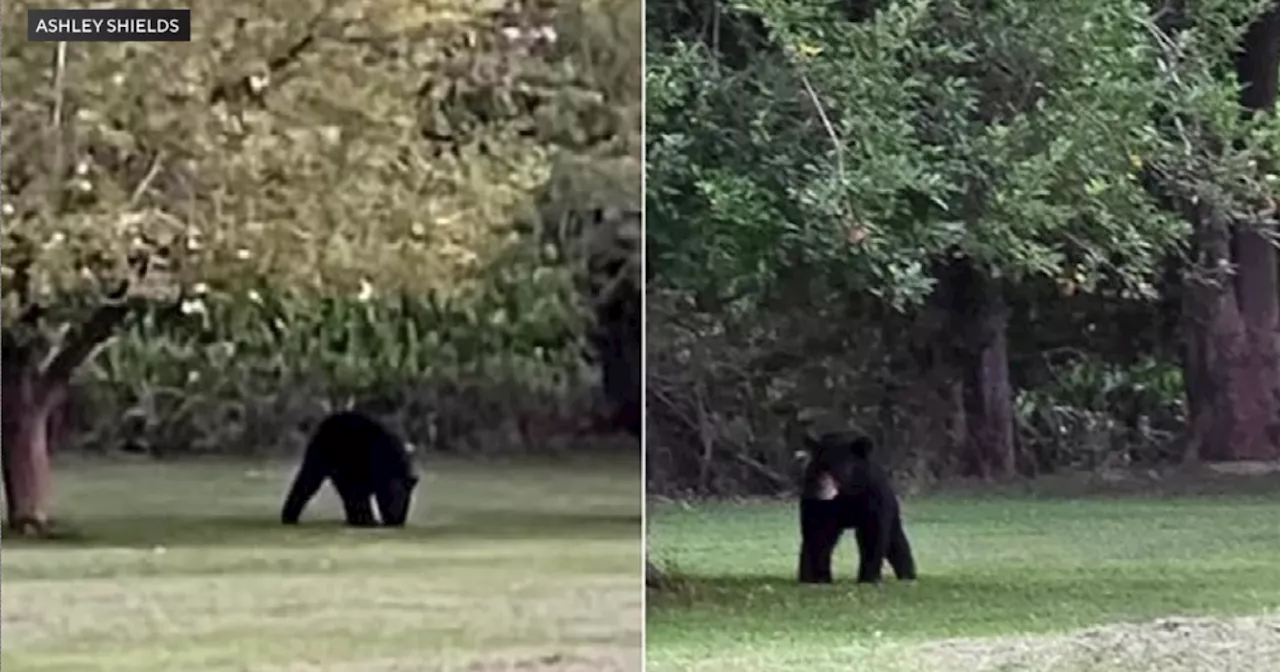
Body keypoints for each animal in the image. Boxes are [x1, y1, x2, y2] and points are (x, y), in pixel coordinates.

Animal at [280, 409, 419, 529]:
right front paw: (368, 520)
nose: (397, 521)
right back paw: (289, 517)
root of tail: (328, 421)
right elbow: (359, 495)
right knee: (308, 481)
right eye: (393, 499)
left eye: (407, 500)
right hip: (322, 458)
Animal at [793, 430, 916, 581]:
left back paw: (907, 575)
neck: (847, 493)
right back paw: (806, 576)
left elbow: (873, 532)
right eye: (818, 468)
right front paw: (820, 577)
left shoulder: (872, 496)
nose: (821, 490)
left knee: (896, 541)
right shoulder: (819, 505)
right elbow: (819, 533)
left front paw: (868, 577)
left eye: (835, 471)